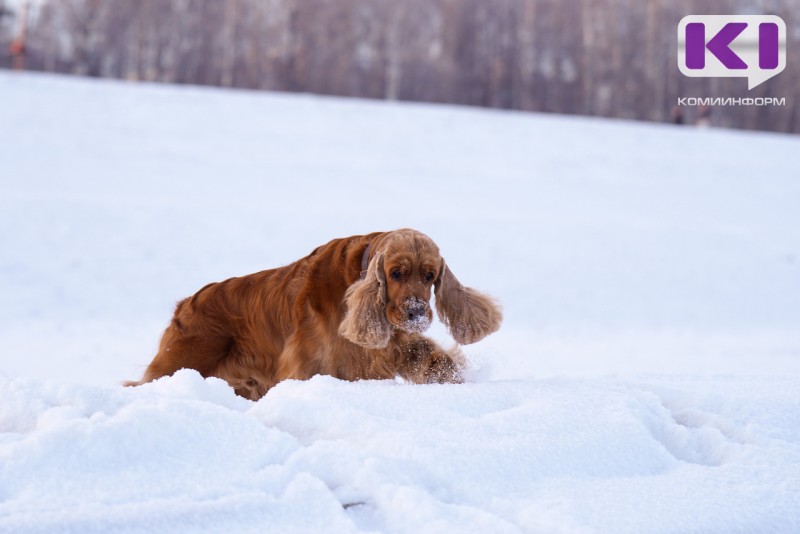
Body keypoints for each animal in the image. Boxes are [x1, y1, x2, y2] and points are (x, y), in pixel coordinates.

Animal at [124, 230, 500, 402]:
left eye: (430, 275)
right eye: (396, 273)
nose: (415, 314)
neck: (355, 279)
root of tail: (187, 303)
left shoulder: (385, 345)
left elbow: (428, 356)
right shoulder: (312, 361)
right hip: (180, 360)